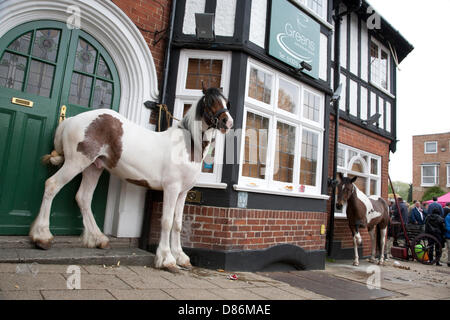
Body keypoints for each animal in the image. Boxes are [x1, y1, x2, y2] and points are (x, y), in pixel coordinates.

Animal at [29, 86, 234, 272]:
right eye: (210, 101)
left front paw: (181, 258)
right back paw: (42, 237)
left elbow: (177, 224)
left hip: (93, 168)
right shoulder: (172, 189)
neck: (185, 145)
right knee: (52, 185)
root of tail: (71, 120)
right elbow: (167, 221)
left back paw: (98, 239)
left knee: (83, 198)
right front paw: (167, 260)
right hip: (76, 162)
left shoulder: (183, 192)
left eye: (226, 102)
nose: (228, 121)